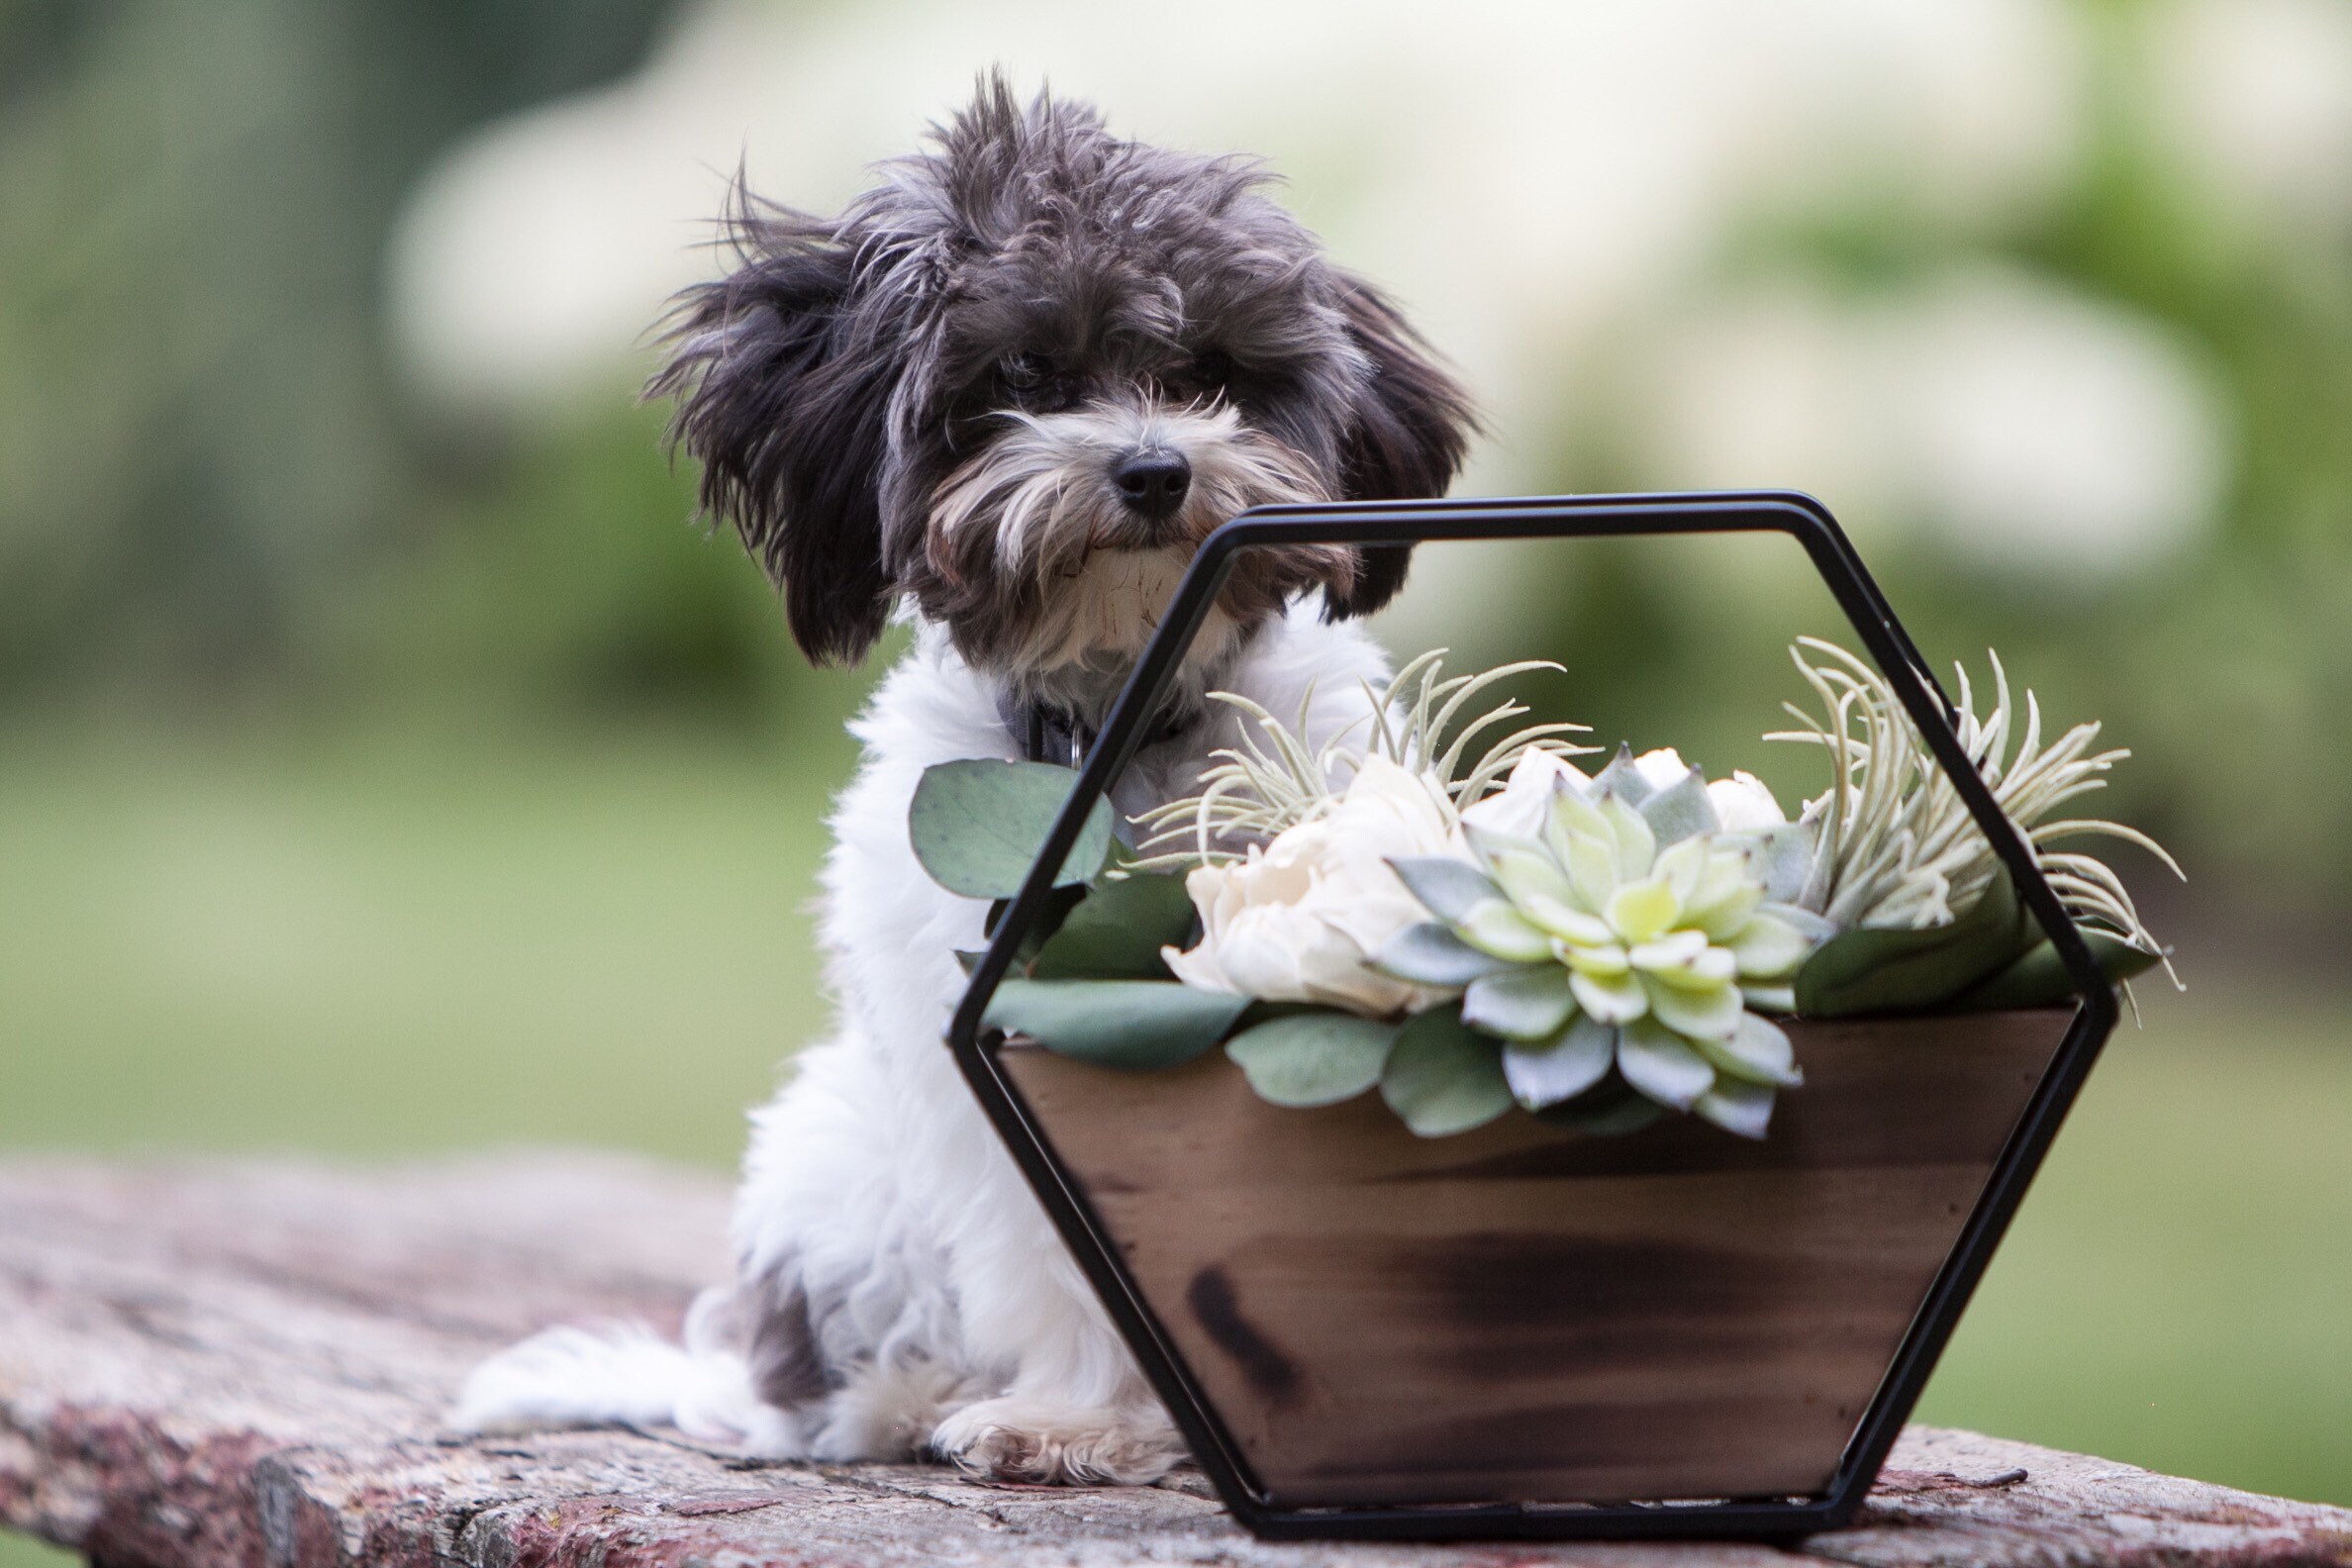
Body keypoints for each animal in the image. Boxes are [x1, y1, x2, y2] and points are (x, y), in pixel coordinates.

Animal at [455, 76, 1467, 1485]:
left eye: (1209, 372)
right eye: (1028, 371)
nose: (1155, 469)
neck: (1113, 721)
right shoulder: (984, 1047)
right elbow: (1065, 1243)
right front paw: (1083, 1420)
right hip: (833, 1158)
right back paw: (914, 1395)